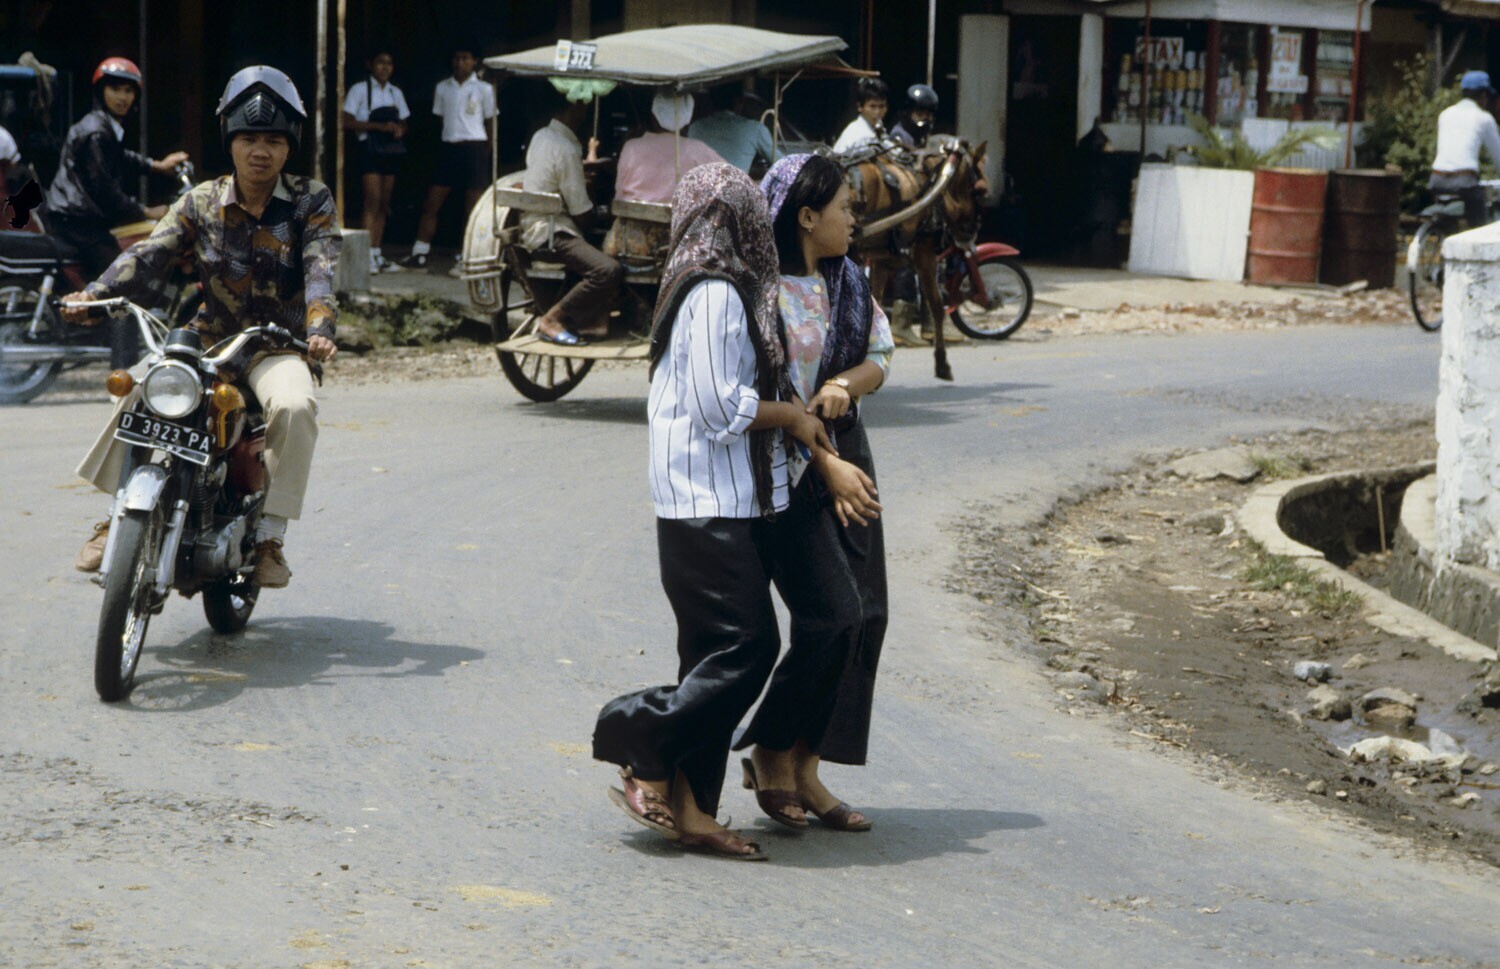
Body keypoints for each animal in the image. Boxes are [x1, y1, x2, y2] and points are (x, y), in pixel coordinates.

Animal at [840, 136, 987, 381]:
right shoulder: (924, 253)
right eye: (981, 191)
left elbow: (876, 306)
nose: (971, 235)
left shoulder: (881, 260)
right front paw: (942, 363)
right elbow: (937, 305)